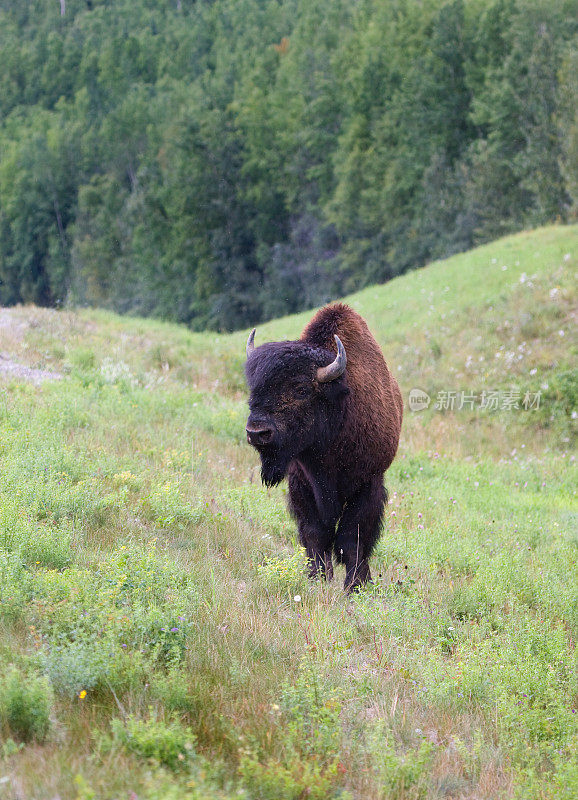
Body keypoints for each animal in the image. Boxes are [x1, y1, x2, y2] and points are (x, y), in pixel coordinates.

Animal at [245, 304, 402, 592]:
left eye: (301, 389)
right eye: (255, 386)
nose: (257, 432)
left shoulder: (367, 484)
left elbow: (353, 538)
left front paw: (355, 587)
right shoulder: (301, 483)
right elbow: (315, 534)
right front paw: (317, 579)